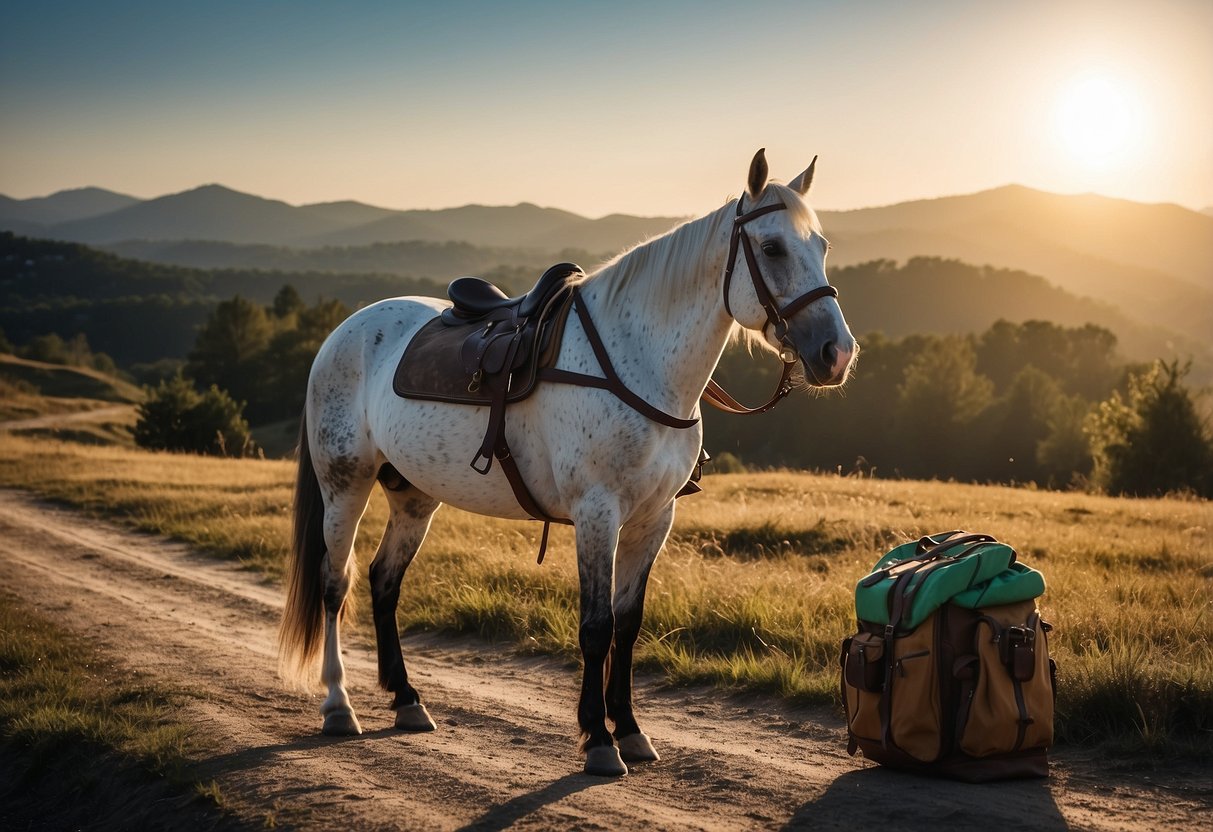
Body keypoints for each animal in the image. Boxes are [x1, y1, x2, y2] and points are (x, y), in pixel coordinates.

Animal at [278, 148, 858, 776]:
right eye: (772, 248)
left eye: (822, 244)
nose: (836, 353)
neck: (636, 362)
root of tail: (344, 332)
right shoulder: (597, 514)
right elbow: (596, 626)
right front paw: (599, 741)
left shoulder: (654, 519)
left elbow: (628, 624)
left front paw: (629, 730)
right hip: (345, 486)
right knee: (335, 584)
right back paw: (339, 706)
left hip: (413, 496)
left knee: (385, 582)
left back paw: (407, 700)